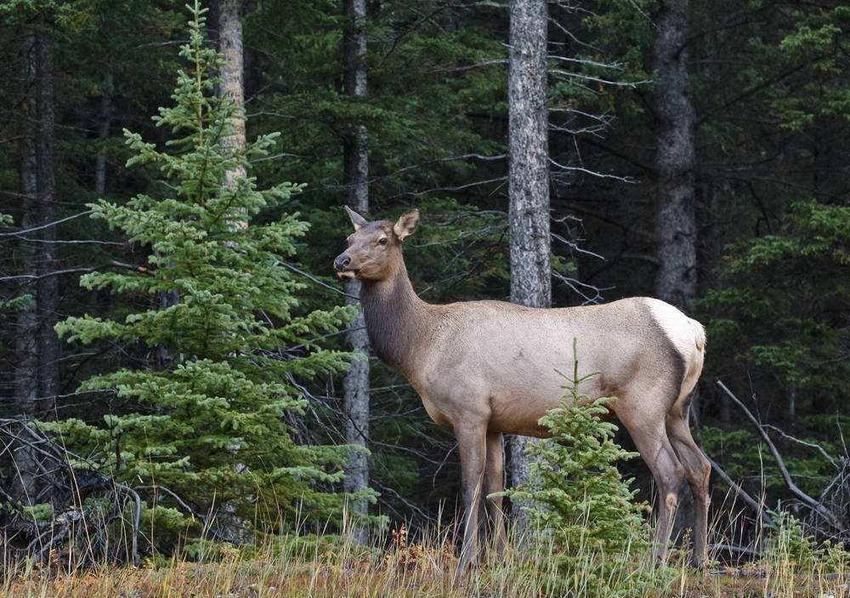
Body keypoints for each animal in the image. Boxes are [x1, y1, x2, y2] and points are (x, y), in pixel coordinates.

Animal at [332, 209, 708, 568]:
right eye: (350, 237)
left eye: (382, 240)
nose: (341, 261)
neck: (422, 348)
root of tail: (694, 332)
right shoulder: (494, 421)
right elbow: (496, 488)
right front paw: (499, 558)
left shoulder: (469, 409)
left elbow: (471, 486)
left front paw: (467, 562)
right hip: (677, 409)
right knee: (699, 468)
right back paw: (699, 562)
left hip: (643, 404)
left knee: (670, 472)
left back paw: (656, 562)